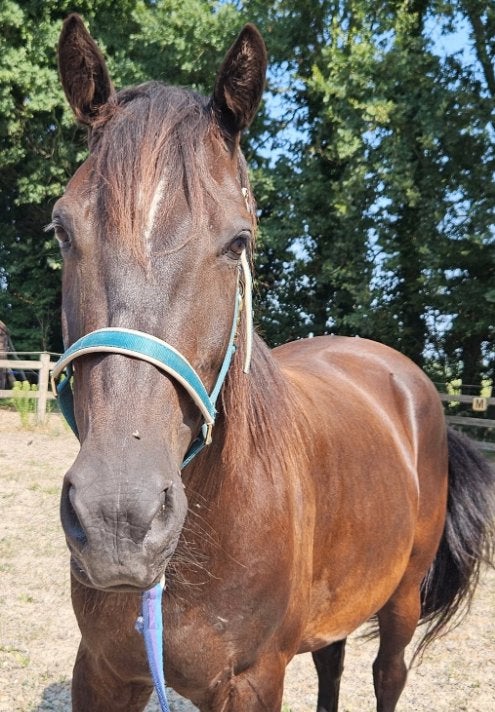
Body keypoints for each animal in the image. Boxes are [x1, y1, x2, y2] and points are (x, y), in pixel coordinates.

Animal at [51, 14, 495, 712]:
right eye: (62, 230)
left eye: (239, 242)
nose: (118, 518)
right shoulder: (100, 672)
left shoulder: (252, 681)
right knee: (333, 663)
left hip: (401, 594)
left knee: (387, 673)